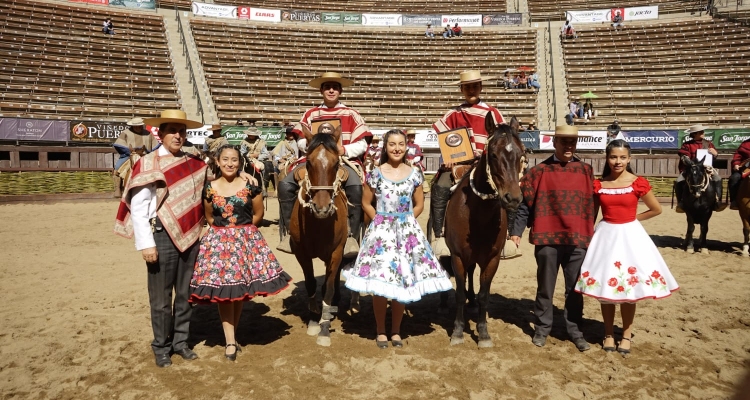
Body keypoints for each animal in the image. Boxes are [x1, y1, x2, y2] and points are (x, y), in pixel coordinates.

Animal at [290, 126, 352, 346]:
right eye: (309, 162)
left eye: (336, 164)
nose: (322, 208)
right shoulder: (301, 253)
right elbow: (310, 284)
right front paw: (313, 320)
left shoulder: (336, 252)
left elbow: (329, 287)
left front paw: (324, 328)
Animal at [444, 115, 524, 346]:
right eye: (494, 155)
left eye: (521, 155)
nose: (513, 198)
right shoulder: (458, 256)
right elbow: (459, 293)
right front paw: (458, 331)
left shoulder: (492, 259)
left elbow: (484, 295)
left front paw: (483, 333)